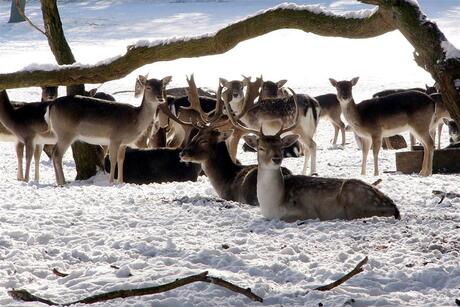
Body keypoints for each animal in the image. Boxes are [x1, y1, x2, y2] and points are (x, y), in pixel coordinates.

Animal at [225, 90, 400, 223]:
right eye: (260, 148)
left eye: (281, 146)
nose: (276, 159)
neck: (272, 202)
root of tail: (394, 207)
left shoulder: (306, 212)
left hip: (353, 201)